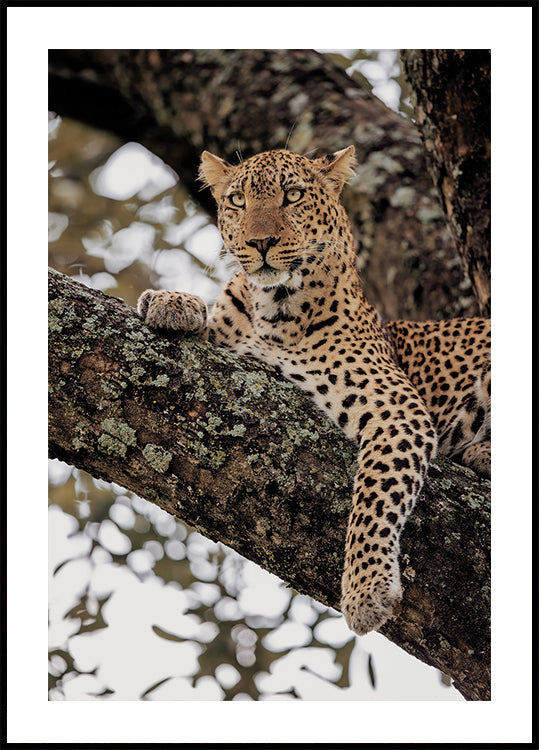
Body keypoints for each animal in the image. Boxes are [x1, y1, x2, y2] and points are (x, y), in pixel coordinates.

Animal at [137, 146, 491, 636]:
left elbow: (374, 498)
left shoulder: (398, 409)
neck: (273, 311)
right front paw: (169, 301)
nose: (261, 243)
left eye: (293, 195)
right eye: (238, 201)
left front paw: (366, 589)